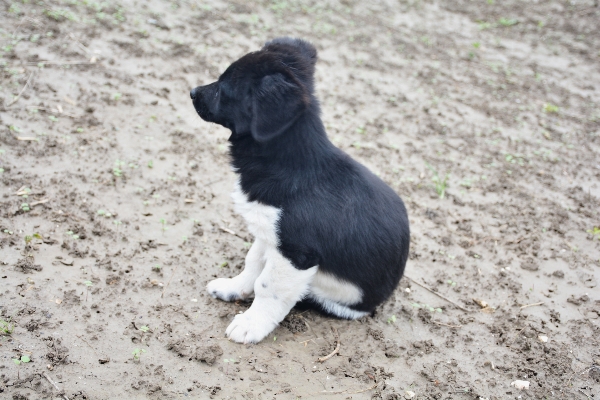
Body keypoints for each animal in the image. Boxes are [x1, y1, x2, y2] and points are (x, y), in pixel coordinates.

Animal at [190, 38, 410, 344]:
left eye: (223, 89)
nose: (192, 92)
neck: (291, 164)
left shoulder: (296, 254)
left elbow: (267, 285)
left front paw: (251, 324)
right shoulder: (271, 232)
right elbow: (253, 262)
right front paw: (234, 287)